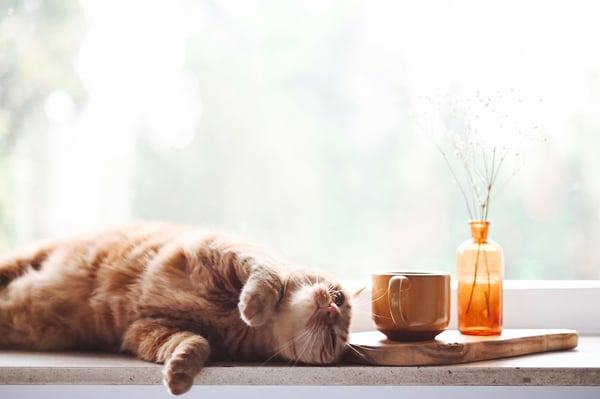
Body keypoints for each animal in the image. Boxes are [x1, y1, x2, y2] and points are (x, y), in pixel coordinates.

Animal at [0, 223, 352, 396]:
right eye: (339, 297)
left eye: (334, 339)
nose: (332, 312)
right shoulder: (220, 247)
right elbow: (266, 275)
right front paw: (255, 304)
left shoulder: (149, 330)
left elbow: (195, 343)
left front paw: (180, 371)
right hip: (19, 259)